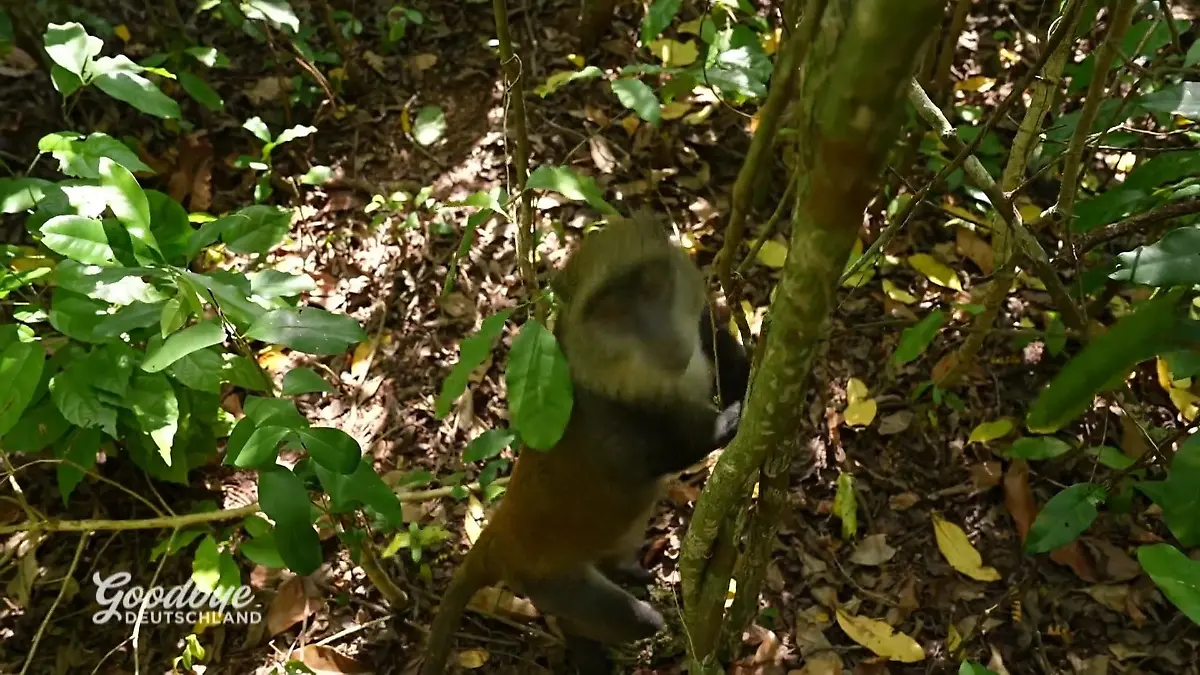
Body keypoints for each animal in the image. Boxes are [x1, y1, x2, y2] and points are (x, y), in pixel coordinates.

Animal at [419, 211, 752, 675]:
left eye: (651, 285)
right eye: (610, 309)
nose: (660, 336)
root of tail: (500, 537)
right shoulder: (604, 418)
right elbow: (656, 455)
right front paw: (726, 423)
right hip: (550, 581)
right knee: (621, 619)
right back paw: (587, 644)